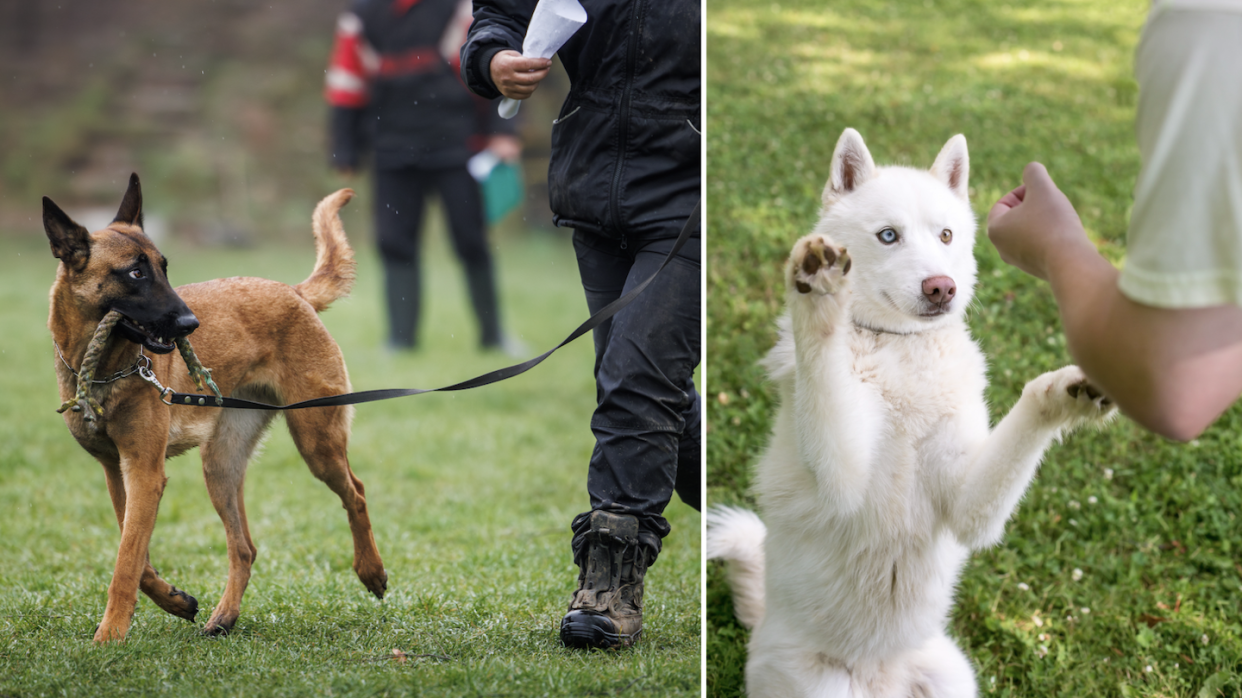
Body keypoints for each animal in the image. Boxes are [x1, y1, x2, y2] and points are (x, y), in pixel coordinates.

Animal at [45, 175, 382, 640]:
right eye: (135, 272)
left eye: (164, 268)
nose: (190, 325)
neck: (101, 370)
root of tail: (294, 293)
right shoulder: (118, 472)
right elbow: (136, 556)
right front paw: (174, 600)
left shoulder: (146, 473)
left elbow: (126, 562)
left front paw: (109, 636)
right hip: (221, 464)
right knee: (245, 547)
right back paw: (224, 616)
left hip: (317, 440)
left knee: (358, 492)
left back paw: (371, 571)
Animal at [710, 127, 1117, 690]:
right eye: (888, 236)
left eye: (945, 235)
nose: (941, 287)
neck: (900, 347)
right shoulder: (841, 477)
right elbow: (822, 360)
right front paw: (819, 289)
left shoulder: (969, 506)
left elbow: (1029, 412)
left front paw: (1066, 392)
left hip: (953, 678)